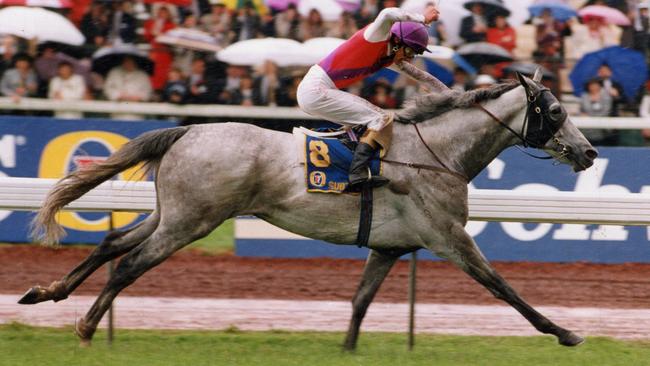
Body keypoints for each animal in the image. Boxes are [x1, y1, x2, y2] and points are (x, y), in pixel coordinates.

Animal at [21, 70, 596, 348]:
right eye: (555, 111)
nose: (589, 152)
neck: (437, 154)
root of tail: (188, 129)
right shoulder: (449, 236)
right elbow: (503, 288)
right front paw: (564, 332)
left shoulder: (390, 246)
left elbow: (360, 301)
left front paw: (346, 349)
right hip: (192, 220)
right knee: (129, 264)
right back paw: (87, 327)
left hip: (171, 213)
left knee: (112, 243)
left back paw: (46, 292)